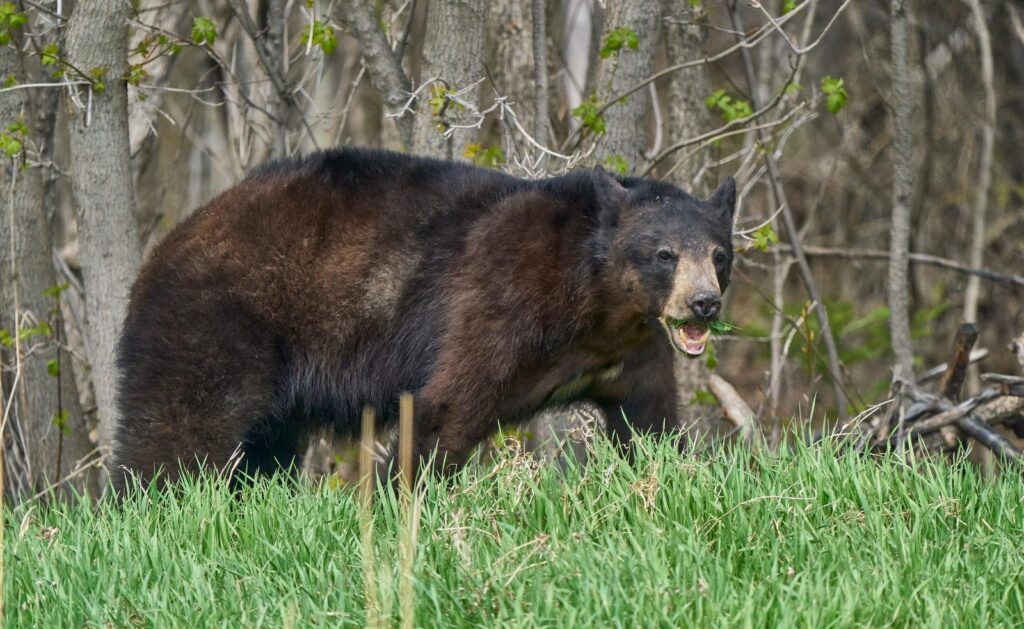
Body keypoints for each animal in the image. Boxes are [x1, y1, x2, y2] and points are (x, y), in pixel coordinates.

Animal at [112, 147, 735, 491]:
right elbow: (446, 406)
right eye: (664, 254)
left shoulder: (631, 351)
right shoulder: (499, 298)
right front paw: (399, 495)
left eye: (719, 254)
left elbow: (651, 419)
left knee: (266, 446)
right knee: (181, 428)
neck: (595, 302)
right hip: (217, 322)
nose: (703, 303)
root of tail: (163, 247)